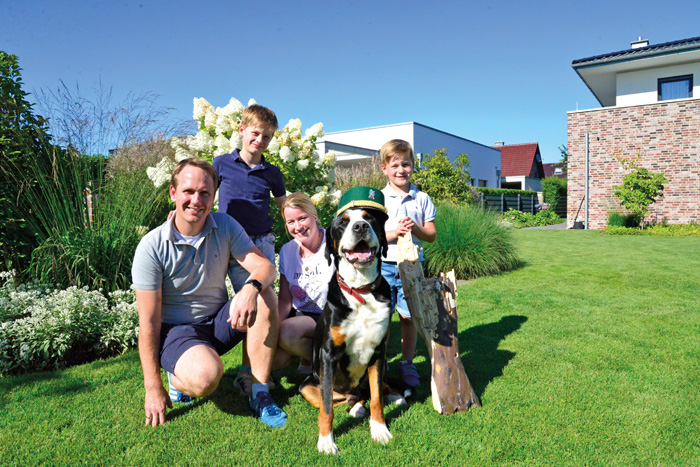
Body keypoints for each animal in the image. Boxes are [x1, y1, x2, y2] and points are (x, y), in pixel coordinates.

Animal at [300, 186, 402, 454]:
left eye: (370, 218)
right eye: (342, 223)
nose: (360, 226)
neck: (361, 290)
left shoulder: (378, 351)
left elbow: (376, 399)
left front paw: (379, 429)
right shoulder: (328, 355)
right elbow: (327, 408)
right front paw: (326, 441)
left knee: (371, 391)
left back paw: (391, 395)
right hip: (308, 385)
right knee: (335, 400)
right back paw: (355, 406)